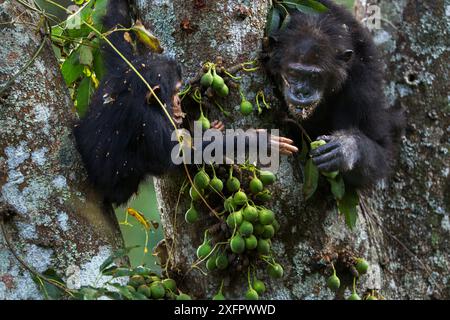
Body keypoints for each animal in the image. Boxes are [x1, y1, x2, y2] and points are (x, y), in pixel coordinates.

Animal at [74, 0, 298, 208]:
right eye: (174, 93)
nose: (178, 104)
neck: (134, 91)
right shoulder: (149, 121)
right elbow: (179, 155)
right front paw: (256, 140)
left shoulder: (122, 69)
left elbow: (118, 32)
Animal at [266, 0, 406, 189]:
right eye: (293, 72)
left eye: (315, 76)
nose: (302, 92)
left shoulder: (363, 87)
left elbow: (381, 149)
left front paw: (347, 148)